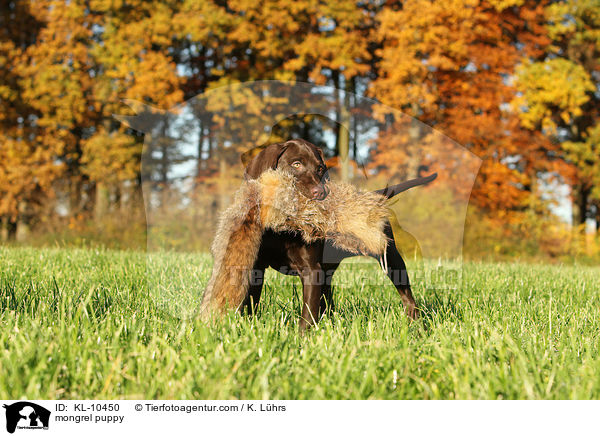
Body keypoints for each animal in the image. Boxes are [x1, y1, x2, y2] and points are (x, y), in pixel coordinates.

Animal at [240, 139, 436, 330]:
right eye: (296, 164)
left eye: (320, 168)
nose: (320, 192)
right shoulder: (257, 267)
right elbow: (250, 303)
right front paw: (248, 326)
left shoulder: (312, 270)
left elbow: (308, 315)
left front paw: (302, 338)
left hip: (391, 259)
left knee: (407, 297)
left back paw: (417, 326)